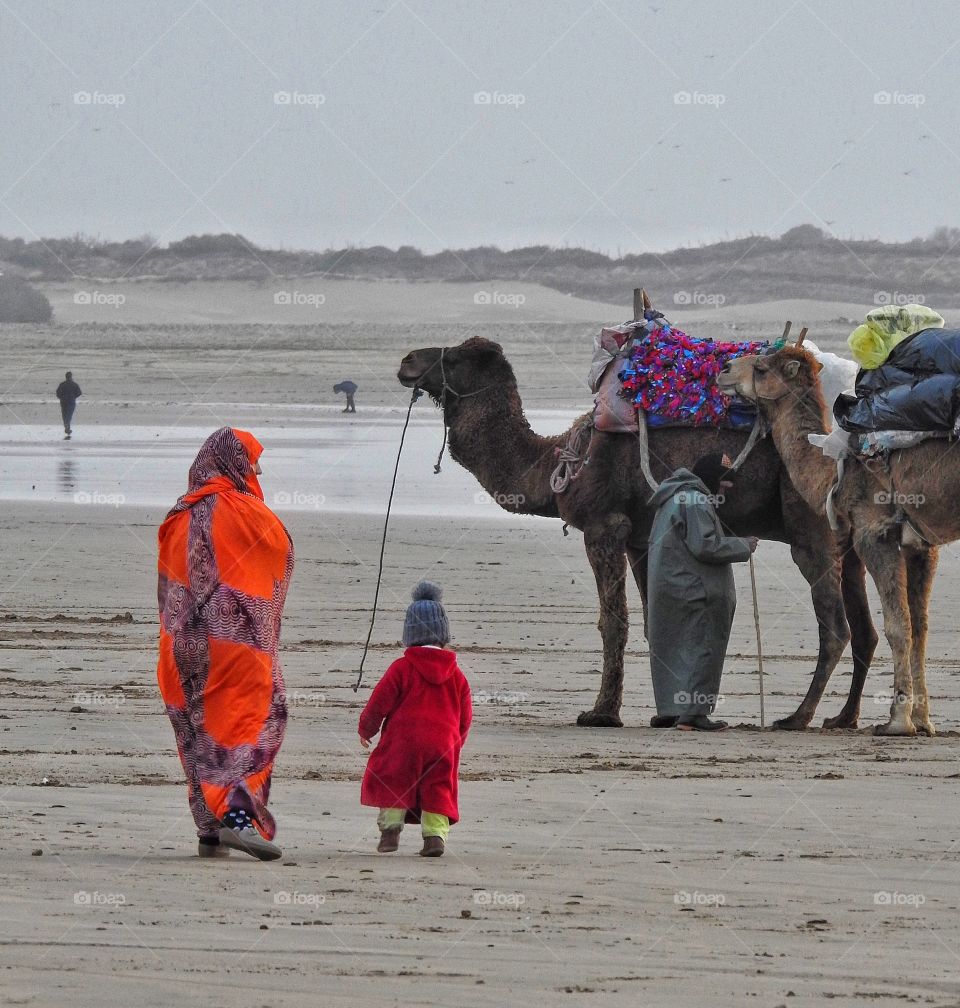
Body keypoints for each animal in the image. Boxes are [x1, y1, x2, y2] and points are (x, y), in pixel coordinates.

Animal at [397, 334, 879, 729]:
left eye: (454, 357)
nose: (406, 361)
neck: (556, 462)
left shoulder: (603, 525)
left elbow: (613, 622)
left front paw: (600, 713)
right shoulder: (639, 538)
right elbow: (652, 620)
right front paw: (664, 713)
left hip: (811, 530)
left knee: (836, 627)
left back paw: (797, 717)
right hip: (849, 545)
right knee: (865, 630)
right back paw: (843, 718)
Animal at [717, 342, 947, 737]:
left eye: (761, 368)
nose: (725, 370)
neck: (835, 470)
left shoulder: (874, 532)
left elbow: (898, 625)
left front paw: (897, 722)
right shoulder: (920, 544)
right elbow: (919, 627)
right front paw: (923, 721)